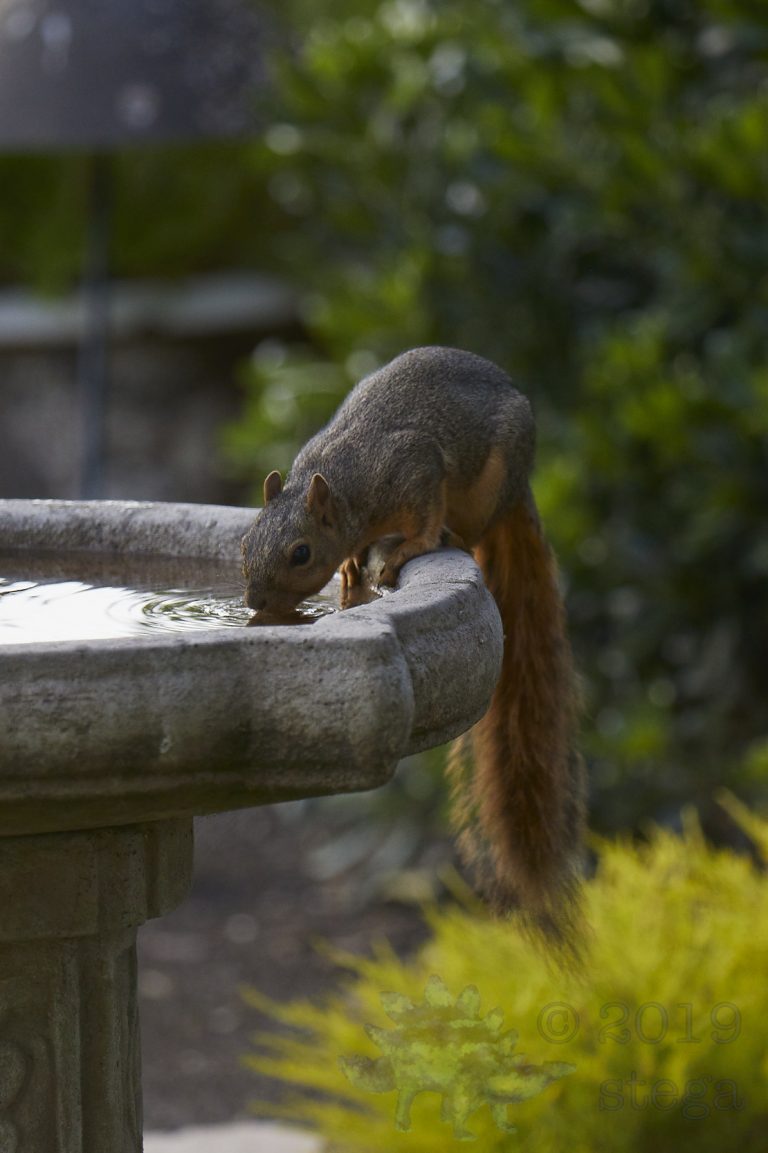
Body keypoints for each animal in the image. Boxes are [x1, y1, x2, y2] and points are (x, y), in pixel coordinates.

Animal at [241, 346, 586, 946]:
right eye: (244, 544)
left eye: (301, 553)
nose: (255, 602)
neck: (346, 484)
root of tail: (520, 487)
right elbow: (354, 555)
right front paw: (351, 573)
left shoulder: (413, 469)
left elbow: (422, 514)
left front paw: (408, 548)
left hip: (492, 483)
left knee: (472, 528)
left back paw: (450, 536)